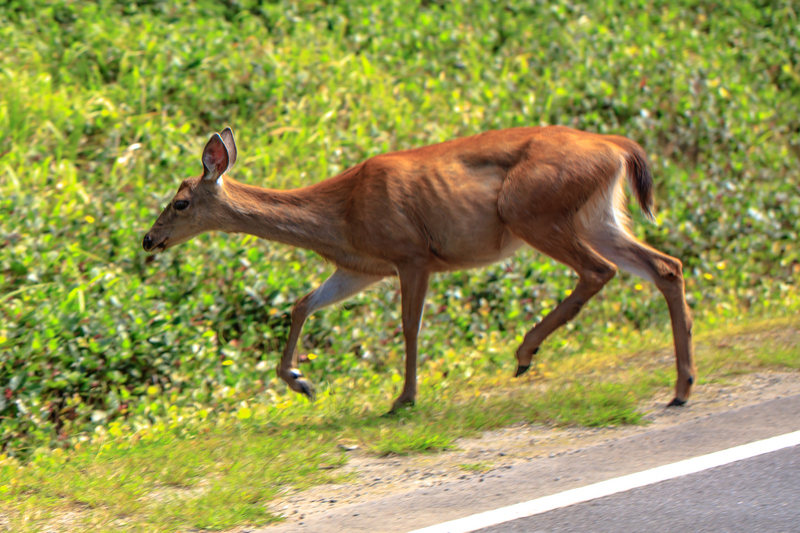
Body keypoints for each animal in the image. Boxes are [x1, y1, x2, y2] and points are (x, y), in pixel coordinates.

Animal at [142, 124, 692, 412]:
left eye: (181, 202)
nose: (148, 239)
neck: (340, 215)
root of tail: (619, 147)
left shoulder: (411, 254)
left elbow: (411, 327)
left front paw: (404, 397)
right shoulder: (363, 266)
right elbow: (301, 304)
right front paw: (301, 381)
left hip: (532, 210)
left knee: (600, 271)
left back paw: (525, 352)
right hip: (598, 214)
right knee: (666, 265)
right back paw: (682, 388)